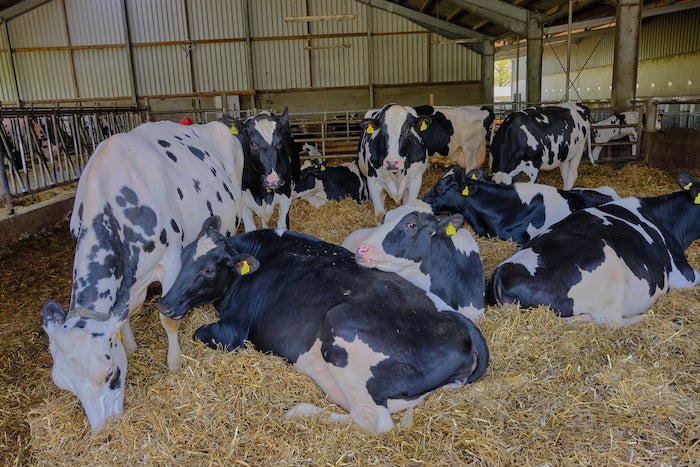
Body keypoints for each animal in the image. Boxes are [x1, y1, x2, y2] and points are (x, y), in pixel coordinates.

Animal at [40, 120, 245, 431]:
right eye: (63, 385)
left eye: (110, 373)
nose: (104, 430)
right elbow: (124, 311)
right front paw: (130, 344)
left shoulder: (172, 259)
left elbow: (167, 318)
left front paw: (174, 362)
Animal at [158, 216, 489, 433]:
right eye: (184, 255)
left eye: (209, 269)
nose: (165, 304)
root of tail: (464, 325)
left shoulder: (233, 331)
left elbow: (201, 333)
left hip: (341, 328)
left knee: (374, 421)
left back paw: (299, 411)